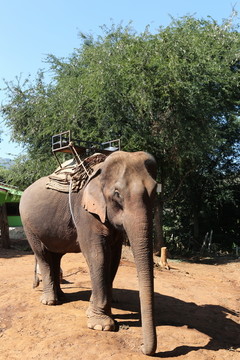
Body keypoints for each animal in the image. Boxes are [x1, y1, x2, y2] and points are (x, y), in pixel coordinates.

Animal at [20, 150, 158, 354]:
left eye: (156, 192)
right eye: (117, 194)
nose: (141, 347)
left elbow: (114, 258)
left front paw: (93, 311)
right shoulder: (85, 212)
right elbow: (98, 255)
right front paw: (102, 326)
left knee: (55, 257)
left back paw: (61, 296)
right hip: (28, 225)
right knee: (43, 255)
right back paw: (50, 301)